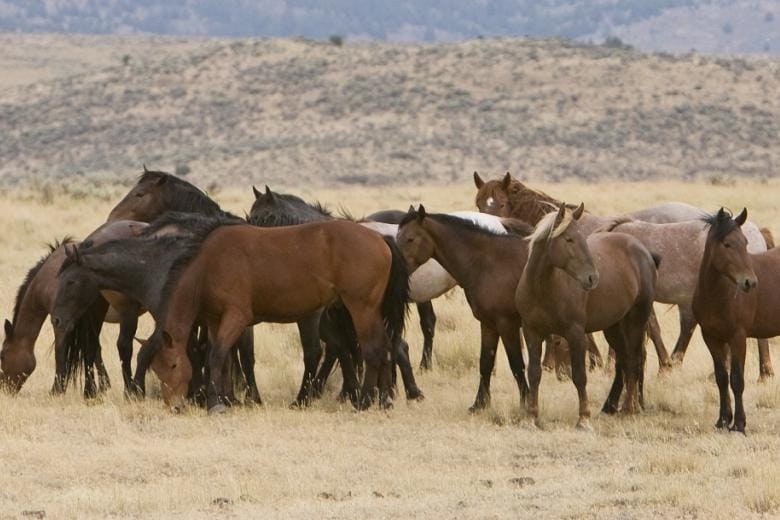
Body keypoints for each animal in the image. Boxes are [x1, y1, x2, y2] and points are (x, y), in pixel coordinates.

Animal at [144, 218, 409, 413]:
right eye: (156, 370)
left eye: (173, 364)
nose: (174, 406)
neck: (209, 264)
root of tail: (380, 238)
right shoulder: (214, 320)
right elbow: (224, 359)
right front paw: (225, 399)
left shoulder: (236, 317)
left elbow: (216, 356)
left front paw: (215, 404)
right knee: (385, 348)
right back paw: (384, 401)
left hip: (361, 309)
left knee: (373, 349)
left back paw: (363, 402)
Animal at [515, 204, 658, 430]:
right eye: (569, 239)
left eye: (582, 237)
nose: (592, 278)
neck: (542, 289)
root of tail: (642, 250)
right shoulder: (532, 332)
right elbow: (534, 373)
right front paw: (530, 417)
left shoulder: (575, 334)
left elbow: (580, 376)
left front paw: (584, 418)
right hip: (614, 327)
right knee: (626, 360)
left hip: (637, 319)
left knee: (635, 360)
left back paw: (629, 408)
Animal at [692, 208, 780, 433]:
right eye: (727, 244)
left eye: (745, 242)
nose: (750, 282)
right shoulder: (711, 338)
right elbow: (722, 378)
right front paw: (723, 420)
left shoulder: (738, 337)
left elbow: (737, 379)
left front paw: (739, 424)